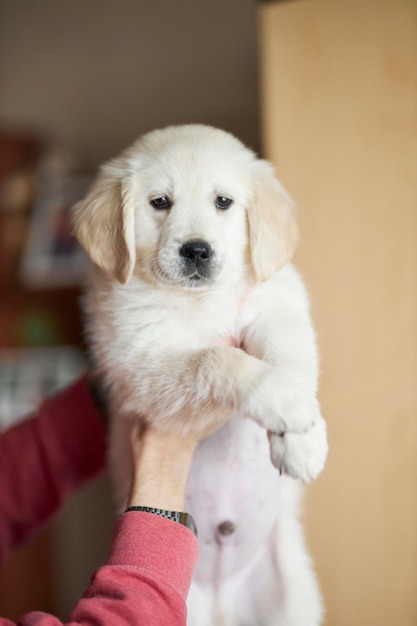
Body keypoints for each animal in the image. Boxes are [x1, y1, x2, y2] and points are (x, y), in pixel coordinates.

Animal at [71, 124, 326, 620]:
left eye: (223, 202)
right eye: (159, 202)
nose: (196, 251)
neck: (201, 299)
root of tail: (225, 605)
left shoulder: (275, 305)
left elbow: (291, 356)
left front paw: (304, 438)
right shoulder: (144, 362)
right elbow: (218, 359)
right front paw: (280, 398)